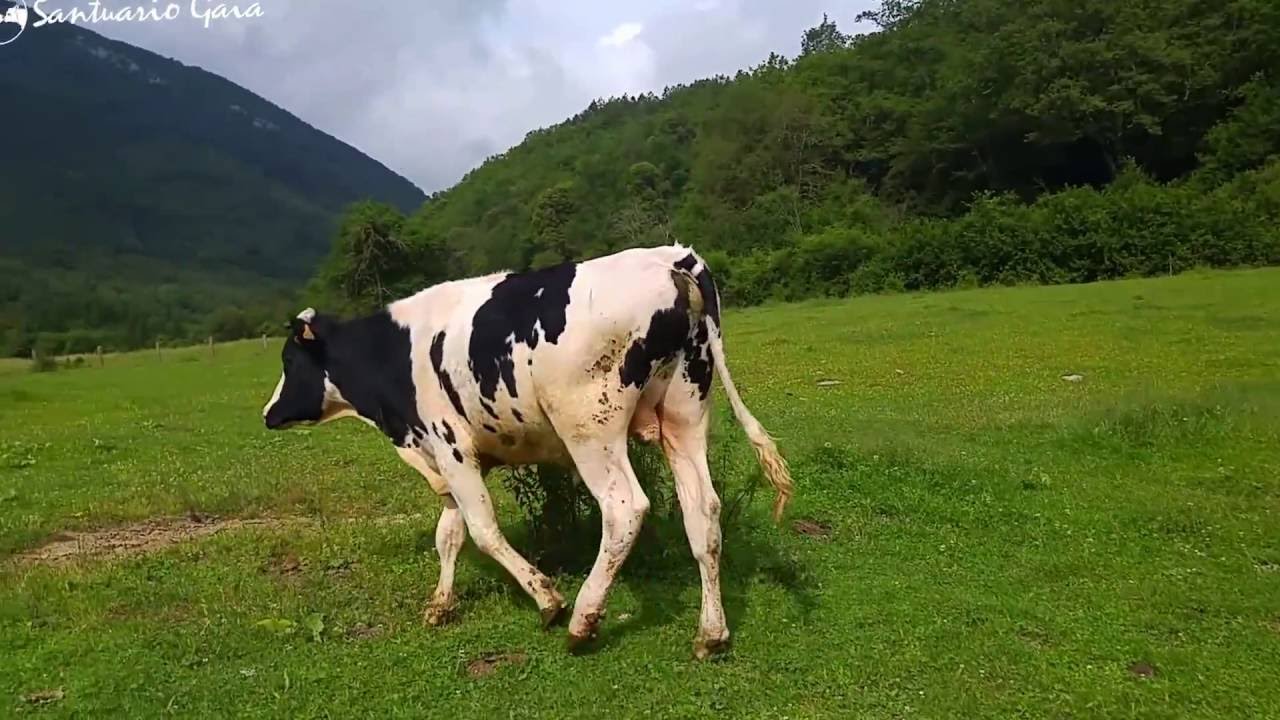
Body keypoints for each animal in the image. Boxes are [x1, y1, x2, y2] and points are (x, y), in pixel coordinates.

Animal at [261, 244, 792, 658]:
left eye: (289, 360)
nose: (267, 413)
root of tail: (670, 257)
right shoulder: (445, 456)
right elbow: (449, 533)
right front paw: (440, 604)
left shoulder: (449, 446)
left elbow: (482, 531)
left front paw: (547, 600)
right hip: (684, 414)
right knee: (703, 513)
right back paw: (712, 634)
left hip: (589, 428)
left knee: (625, 509)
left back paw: (582, 619)